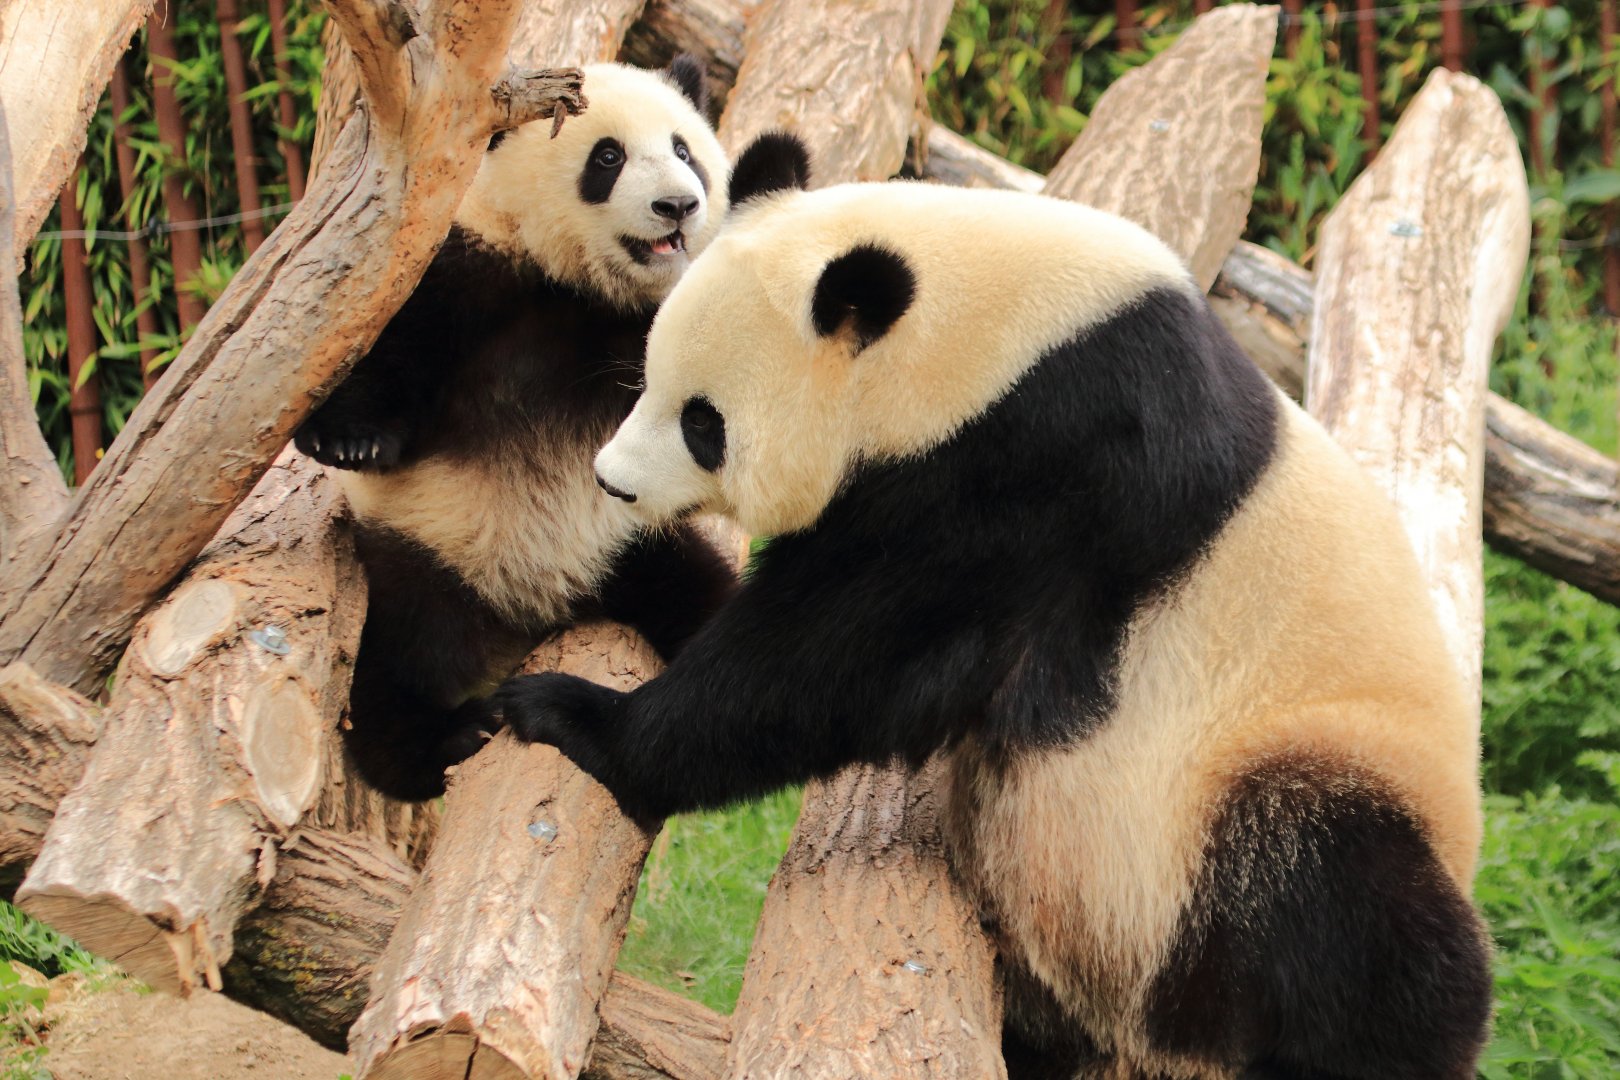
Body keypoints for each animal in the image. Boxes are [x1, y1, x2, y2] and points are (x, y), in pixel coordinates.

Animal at [294, 58, 784, 802]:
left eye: (683, 150)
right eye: (607, 158)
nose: (678, 205)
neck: (580, 288)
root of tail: (539, 607)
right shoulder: (475, 273)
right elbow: (398, 350)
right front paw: (346, 438)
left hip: (636, 547)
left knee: (710, 613)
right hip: (425, 554)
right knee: (396, 665)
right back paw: (445, 739)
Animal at [491, 146, 1493, 1080]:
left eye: (705, 424)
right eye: (647, 376)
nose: (613, 482)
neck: (986, 332)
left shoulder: (1048, 466)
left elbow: (841, 650)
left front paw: (576, 716)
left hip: (1279, 776)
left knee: (1349, 904)